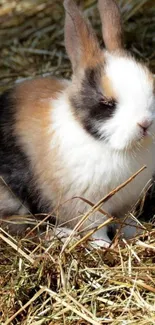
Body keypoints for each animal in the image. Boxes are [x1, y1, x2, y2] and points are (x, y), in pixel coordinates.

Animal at [0, 0, 154, 246]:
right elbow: (95, 230)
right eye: (107, 103)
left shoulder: (127, 203)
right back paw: (60, 234)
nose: (145, 124)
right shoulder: (86, 207)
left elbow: (128, 221)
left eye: (152, 87)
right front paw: (103, 246)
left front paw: (134, 234)